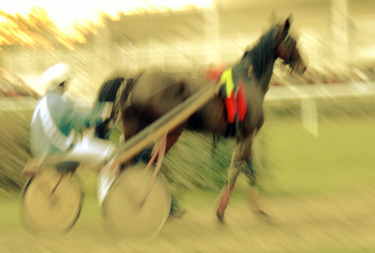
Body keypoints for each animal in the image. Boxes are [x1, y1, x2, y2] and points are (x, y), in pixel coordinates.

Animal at [97, 17, 308, 222]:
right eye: (292, 41)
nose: (303, 66)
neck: (250, 80)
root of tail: (136, 78)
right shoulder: (248, 134)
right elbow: (236, 170)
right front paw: (222, 211)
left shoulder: (244, 136)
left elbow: (249, 170)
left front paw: (258, 209)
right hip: (168, 130)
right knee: (143, 161)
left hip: (136, 128)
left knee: (130, 162)